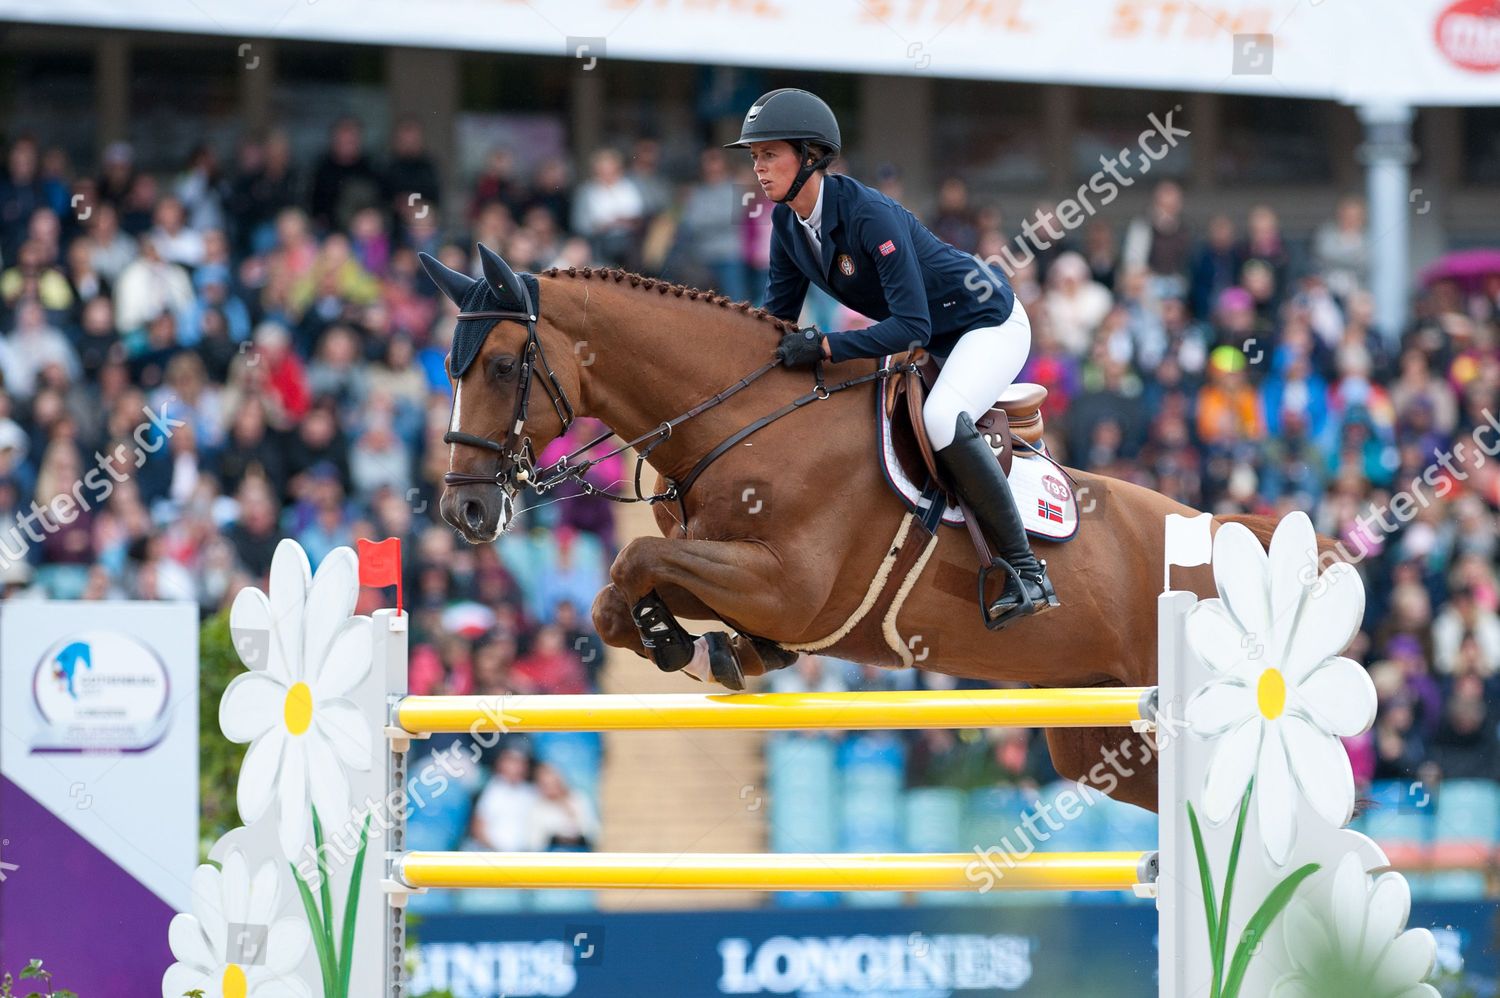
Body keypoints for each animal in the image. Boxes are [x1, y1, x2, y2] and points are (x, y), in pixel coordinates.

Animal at [423, 247, 1278, 810]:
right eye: (451, 366)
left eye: (502, 366)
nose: (465, 510)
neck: (739, 420)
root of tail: (1228, 530)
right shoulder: (732, 569)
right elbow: (620, 593)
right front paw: (701, 647)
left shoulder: (788, 588)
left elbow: (635, 556)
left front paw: (694, 646)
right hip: (1099, 735)